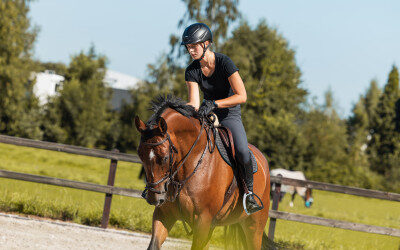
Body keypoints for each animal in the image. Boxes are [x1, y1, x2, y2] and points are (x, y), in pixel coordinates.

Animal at [134, 95, 272, 248]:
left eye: (164, 157)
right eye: (140, 155)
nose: (154, 198)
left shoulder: (203, 221)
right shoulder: (164, 214)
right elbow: (154, 244)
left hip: (254, 228)